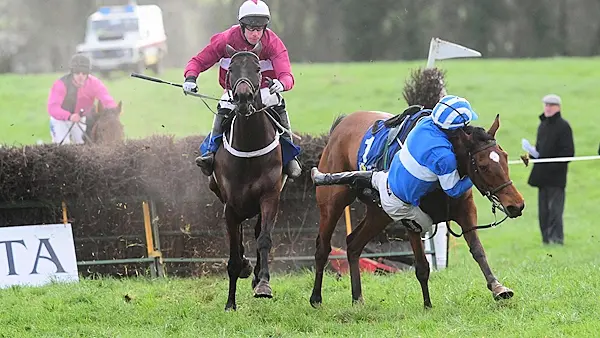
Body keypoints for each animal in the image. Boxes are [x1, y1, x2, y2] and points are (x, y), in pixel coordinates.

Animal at [207, 41, 290, 310]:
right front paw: (230, 303)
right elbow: (234, 252)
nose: (243, 98)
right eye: (231, 68)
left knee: (257, 232)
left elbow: (264, 239)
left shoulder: (270, 197)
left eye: (257, 68)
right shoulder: (230, 206)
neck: (249, 149)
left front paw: (263, 284)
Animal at [310, 68, 524, 308]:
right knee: (323, 247)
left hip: (379, 213)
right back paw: (316, 297)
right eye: (485, 166)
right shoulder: (411, 220)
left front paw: (498, 288)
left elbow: (478, 251)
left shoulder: (465, 209)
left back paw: (358, 299)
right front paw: (428, 305)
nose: (516, 205)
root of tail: (340, 125)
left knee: (353, 244)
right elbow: (422, 266)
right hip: (334, 203)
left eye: (504, 157)